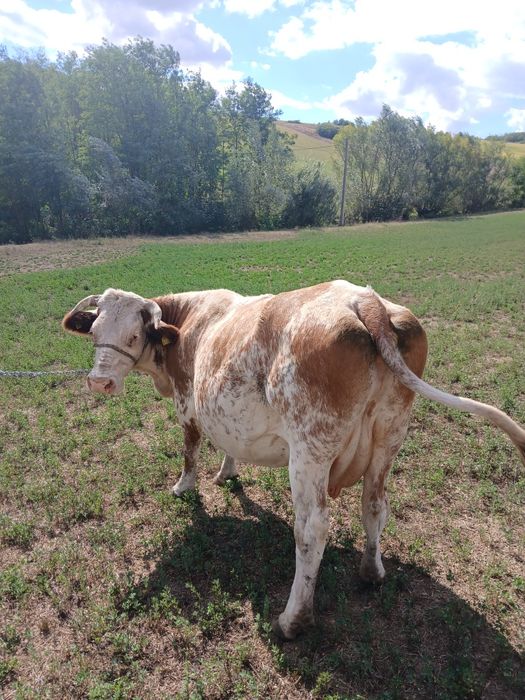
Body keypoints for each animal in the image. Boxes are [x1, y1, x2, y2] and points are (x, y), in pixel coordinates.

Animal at [62, 282, 525, 639]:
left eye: (133, 335)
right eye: (95, 331)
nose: (99, 382)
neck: (191, 319)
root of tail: (363, 299)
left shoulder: (186, 402)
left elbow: (190, 448)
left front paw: (184, 486)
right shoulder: (225, 411)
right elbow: (228, 441)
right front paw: (228, 471)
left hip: (309, 451)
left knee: (312, 529)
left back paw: (292, 620)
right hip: (389, 437)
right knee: (375, 506)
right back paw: (371, 571)